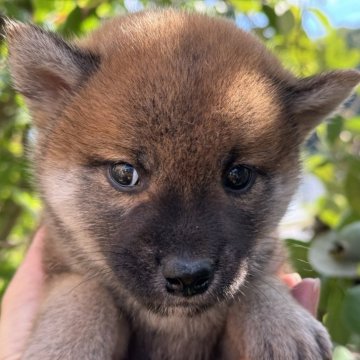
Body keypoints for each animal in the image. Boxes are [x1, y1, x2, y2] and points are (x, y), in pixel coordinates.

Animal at [5, 9, 360, 360]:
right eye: (125, 174)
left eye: (238, 176)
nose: (188, 277)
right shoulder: (59, 262)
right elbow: (86, 293)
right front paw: (67, 342)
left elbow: (258, 281)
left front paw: (281, 323)